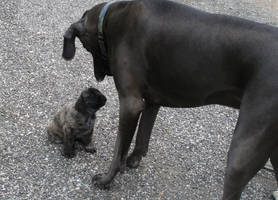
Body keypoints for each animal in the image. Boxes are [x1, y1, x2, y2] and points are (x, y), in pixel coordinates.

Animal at [62, 0, 278, 198]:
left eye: (85, 47)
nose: (98, 76)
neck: (110, 18)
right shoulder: (151, 101)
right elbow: (142, 136)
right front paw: (133, 160)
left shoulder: (130, 104)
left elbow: (118, 150)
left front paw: (106, 180)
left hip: (242, 154)